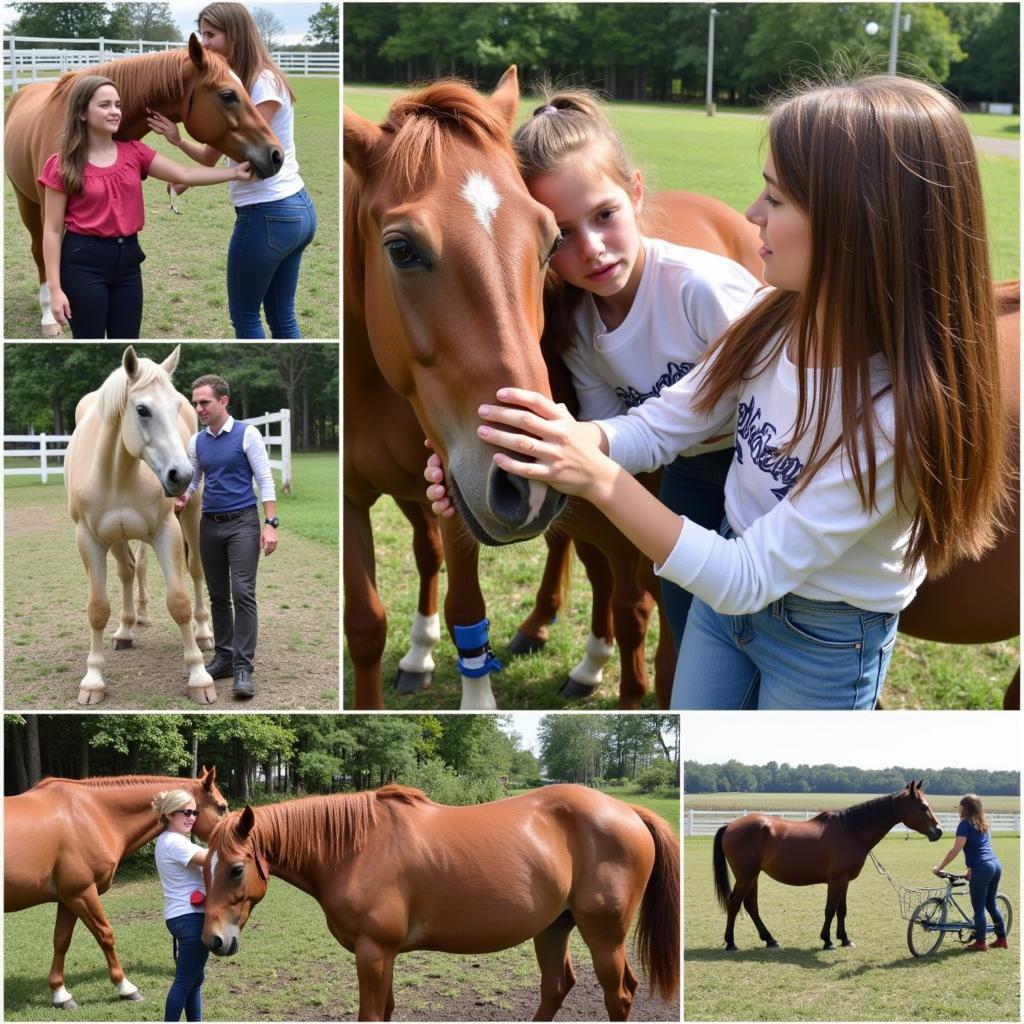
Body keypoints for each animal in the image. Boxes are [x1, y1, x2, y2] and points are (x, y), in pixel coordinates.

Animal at [3, 30, 284, 335]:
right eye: (228, 95)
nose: (276, 155)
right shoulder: (49, 210)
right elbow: (50, 255)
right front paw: (53, 315)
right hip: (26, 201)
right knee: (39, 252)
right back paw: (48, 315)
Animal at [4, 770, 230, 1007]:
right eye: (221, 807)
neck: (92, 813)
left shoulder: (67, 899)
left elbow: (61, 941)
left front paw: (60, 994)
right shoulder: (82, 893)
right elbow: (105, 935)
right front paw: (126, 987)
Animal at [64, 346, 216, 704]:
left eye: (177, 406)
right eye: (142, 410)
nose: (181, 476)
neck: (117, 473)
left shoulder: (165, 531)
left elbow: (179, 602)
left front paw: (199, 676)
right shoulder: (89, 539)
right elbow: (97, 608)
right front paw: (93, 680)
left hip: (191, 516)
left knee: (196, 569)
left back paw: (204, 633)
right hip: (117, 537)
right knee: (128, 571)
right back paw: (125, 630)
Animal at [199, 782, 679, 1015]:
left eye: (236, 868)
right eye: (202, 866)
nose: (213, 941)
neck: (356, 847)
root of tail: (627, 811)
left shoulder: (373, 952)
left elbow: (371, 1014)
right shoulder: (383, 955)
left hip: (604, 936)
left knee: (619, 995)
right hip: (553, 928)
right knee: (556, 988)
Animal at [712, 782, 942, 950]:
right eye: (923, 807)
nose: (938, 831)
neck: (850, 830)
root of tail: (730, 826)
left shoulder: (844, 880)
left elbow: (842, 910)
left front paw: (845, 939)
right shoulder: (836, 880)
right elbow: (830, 909)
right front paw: (828, 941)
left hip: (753, 876)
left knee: (751, 906)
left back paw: (770, 940)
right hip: (746, 876)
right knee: (734, 904)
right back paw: (731, 943)